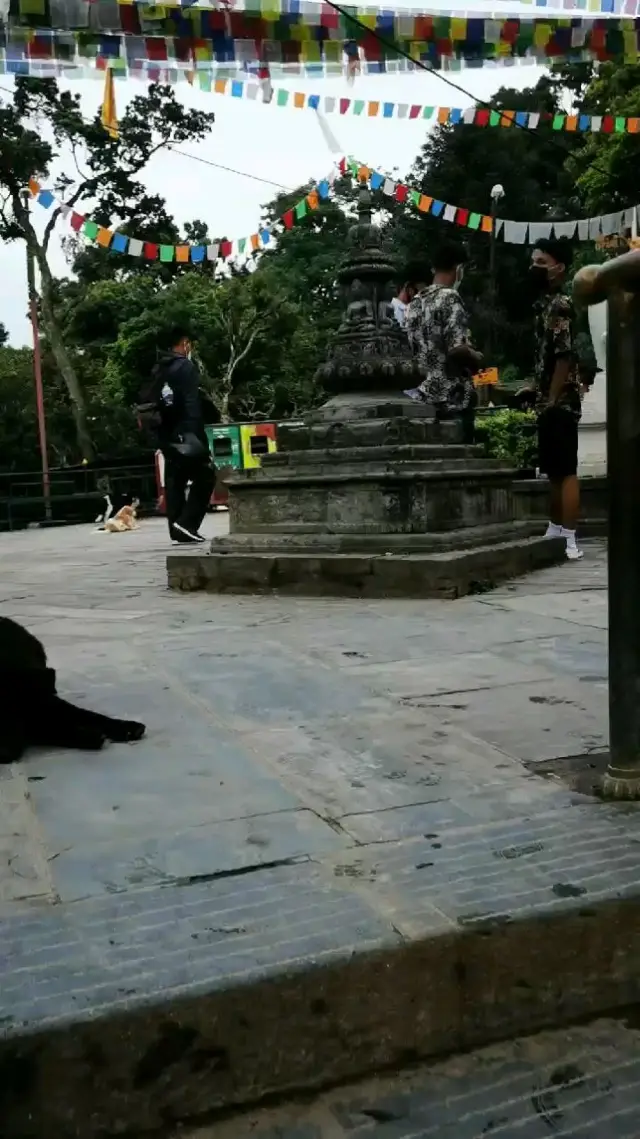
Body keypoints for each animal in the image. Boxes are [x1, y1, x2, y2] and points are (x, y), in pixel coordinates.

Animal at [0, 615, 145, 765]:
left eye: (17, 709)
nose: (3, 754)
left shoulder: (47, 700)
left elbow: (89, 715)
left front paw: (128, 728)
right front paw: (88, 736)